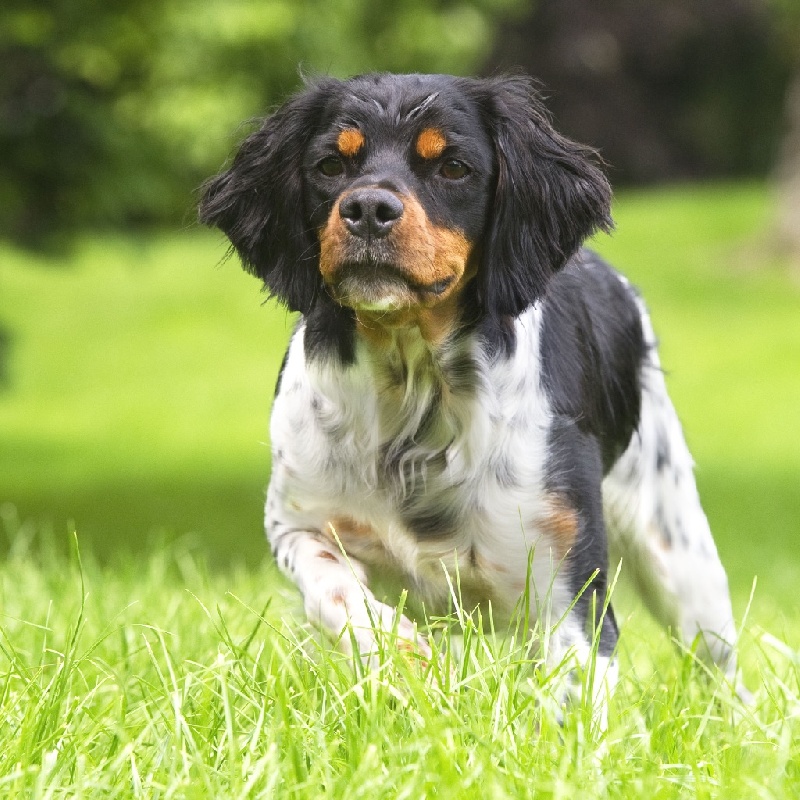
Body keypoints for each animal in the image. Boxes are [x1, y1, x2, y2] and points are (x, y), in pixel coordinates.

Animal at [198, 70, 736, 720]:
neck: (413, 389)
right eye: (330, 164)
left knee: (722, 668)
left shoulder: (565, 581)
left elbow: (575, 689)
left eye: (453, 167)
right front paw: (402, 655)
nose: (368, 208)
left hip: (680, 557)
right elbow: (335, 595)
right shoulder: (298, 522)